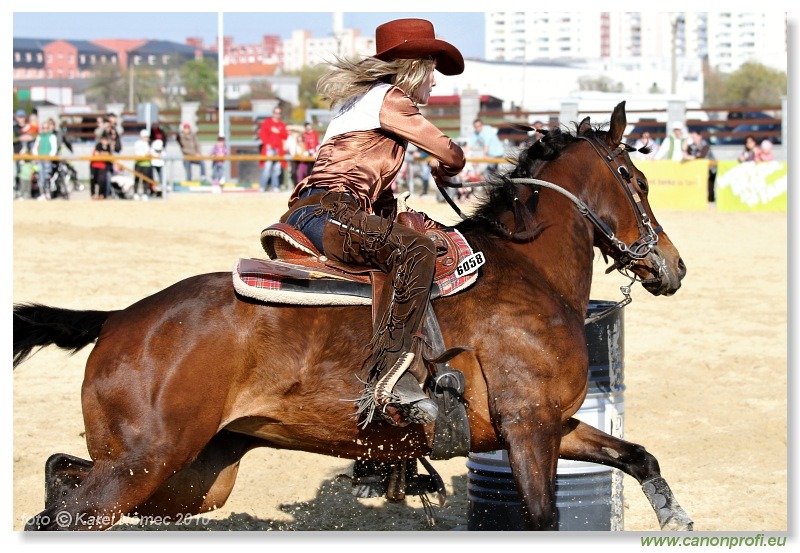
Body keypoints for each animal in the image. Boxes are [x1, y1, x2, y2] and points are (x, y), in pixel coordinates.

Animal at [12, 102, 692, 532]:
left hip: (188, 475)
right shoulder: (529, 429)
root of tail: (120, 317)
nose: (672, 264)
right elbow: (544, 518)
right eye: (635, 178)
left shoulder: (553, 424)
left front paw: (674, 513)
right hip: (142, 463)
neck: (527, 270)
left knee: (61, 474)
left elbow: (639, 456)